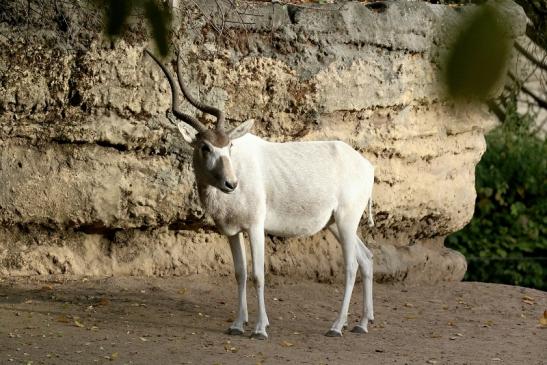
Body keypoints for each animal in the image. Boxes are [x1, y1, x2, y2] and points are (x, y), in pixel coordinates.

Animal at [146, 49, 376, 338]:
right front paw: (236, 324)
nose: (231, 184)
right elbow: (240, 273)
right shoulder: (232, 231)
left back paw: (336, 326)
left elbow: (258, 274)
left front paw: (259, 328)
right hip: (335, 224)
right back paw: (361, 323)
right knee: (366, 258)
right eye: (205, 147)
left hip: (346, 221)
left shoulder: (256, 227)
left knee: (351, 266)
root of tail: (367, 166)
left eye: (229, 146)